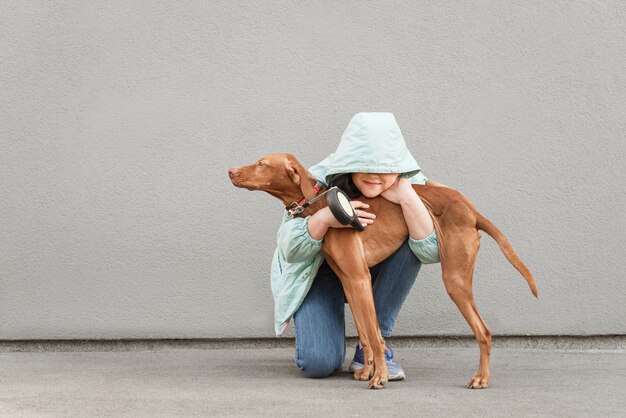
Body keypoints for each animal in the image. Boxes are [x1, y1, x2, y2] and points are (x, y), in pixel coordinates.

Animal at [229, 155, 536, 390]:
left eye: (262, 164)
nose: (230, 171)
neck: (320, 204)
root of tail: (471, 209)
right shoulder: (350, 282)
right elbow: (366, 332)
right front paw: (368, 370)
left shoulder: (359, 278)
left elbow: (375, 336)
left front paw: (379, 377)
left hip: (455, 278)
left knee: (484, 331)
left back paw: (482, 378)